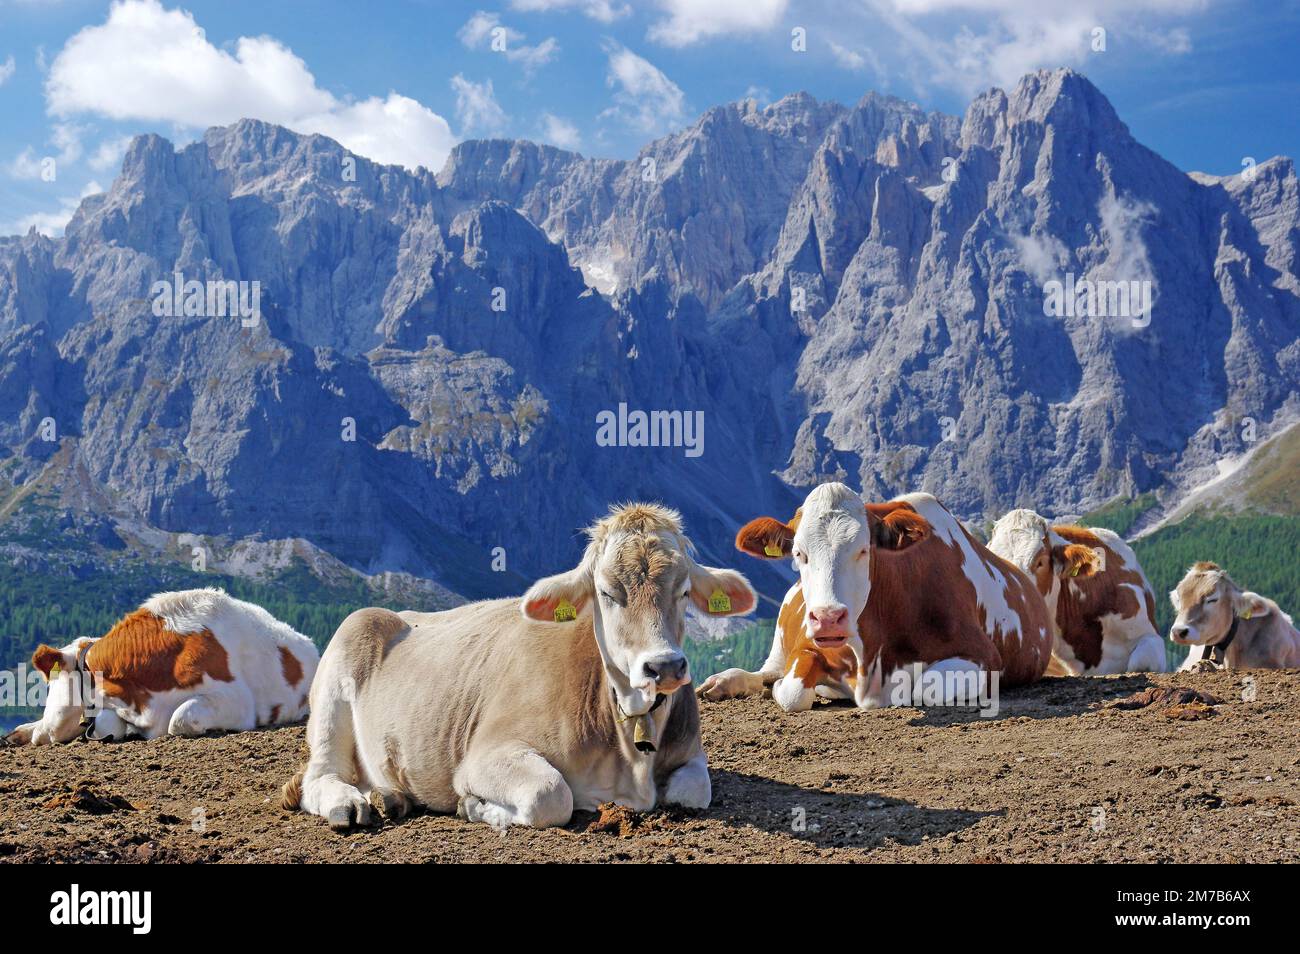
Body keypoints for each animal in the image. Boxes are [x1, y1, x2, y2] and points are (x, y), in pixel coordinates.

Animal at [279, 504, 759, 831]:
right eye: (607, 592)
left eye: (683, 591)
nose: (664, 666)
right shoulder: (484, 754)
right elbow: (551, 794)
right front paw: (473, 806)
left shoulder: (691, 754)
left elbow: (692, 791)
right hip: (342, 659)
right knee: (321, 775)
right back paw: (351, 803)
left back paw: (390, 798)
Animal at [696, 486, 1050, 717]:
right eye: (798, 553)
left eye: (864, 550)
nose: (828, 618)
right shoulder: (806, 646)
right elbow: (793, 691)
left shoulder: (985, 656)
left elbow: (925, 687)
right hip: (781, 638)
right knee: (767, 671)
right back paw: (723, 681)